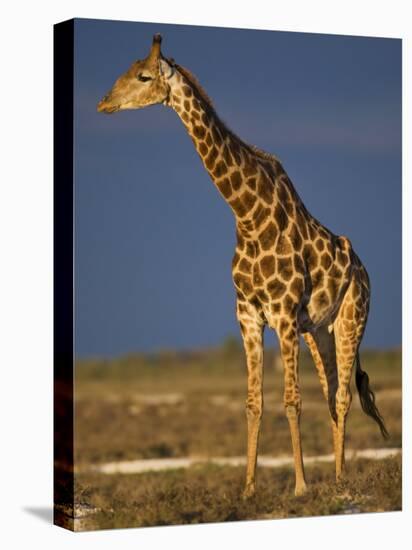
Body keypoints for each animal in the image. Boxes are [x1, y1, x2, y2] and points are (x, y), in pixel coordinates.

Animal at [98, 34, 388, 500]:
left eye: (142, 76)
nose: (103, 103)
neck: (247, 214)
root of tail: (363, 270)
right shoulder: (248, 314)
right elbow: (254, 402)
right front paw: (249, 488)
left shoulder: (284, 315)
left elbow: (291, 400)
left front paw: (300, 486)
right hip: (319, 331)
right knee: (331, 393)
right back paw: (338, 476)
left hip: (351, 319)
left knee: (343, 395)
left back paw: (340, 480)